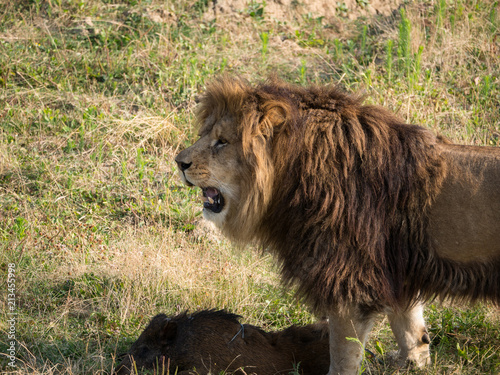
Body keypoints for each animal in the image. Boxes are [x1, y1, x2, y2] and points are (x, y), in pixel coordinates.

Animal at [176, 77, 500, 375]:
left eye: (222, 141)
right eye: (204, 135)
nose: (179, 162)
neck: (292, 173)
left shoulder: (347, 283)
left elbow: (342, 354)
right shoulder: (393, 269)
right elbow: (409, 326)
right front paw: (413, 363)